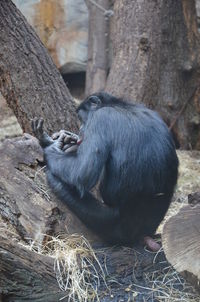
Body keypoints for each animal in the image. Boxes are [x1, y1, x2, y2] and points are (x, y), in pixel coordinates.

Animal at [32, 91, 179, 250]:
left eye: (82, 119)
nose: (81, 129)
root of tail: (141, 235)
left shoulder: (100, 119)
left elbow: (83, 172)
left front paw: (50, 145)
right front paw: (65, 138)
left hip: (108, 222)